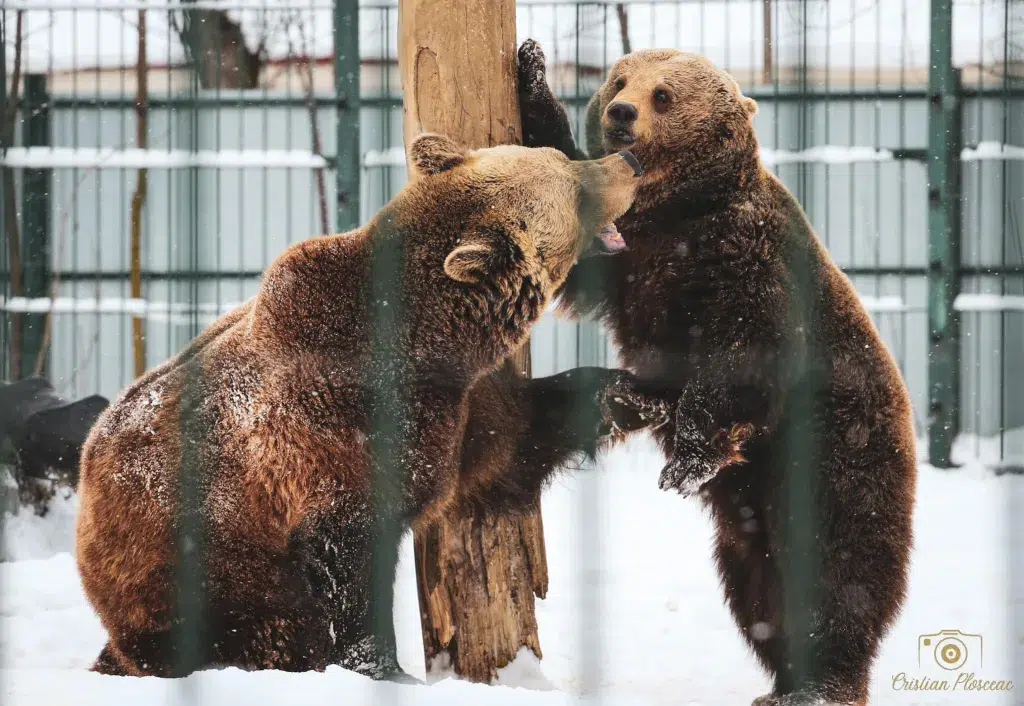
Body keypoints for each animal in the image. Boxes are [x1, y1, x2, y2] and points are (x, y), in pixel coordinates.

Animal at [516, 39, 917, 704]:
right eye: (620, 80)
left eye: (663, 94)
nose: (621, 112)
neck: (678, 213)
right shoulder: (629, 252)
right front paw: (532, 69)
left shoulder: (747, 265)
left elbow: (739, 364)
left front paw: (687, 459)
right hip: (748, 518)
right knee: (758, 590)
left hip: (837, 457)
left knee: (838, 571)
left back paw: (822, 682)